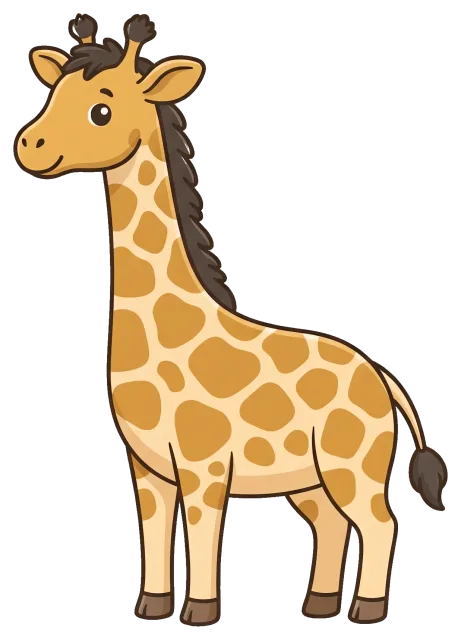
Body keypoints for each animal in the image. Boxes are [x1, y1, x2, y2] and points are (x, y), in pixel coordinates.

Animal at [14, 13, 448, 626]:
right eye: (53, 94)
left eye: (101, 110)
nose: (29, 146)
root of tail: (382, 375)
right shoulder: (147, 467)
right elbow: (154, 534)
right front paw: (151, 607)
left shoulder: (205, 466)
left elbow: (202, 535)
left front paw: (199, 612)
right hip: (309, 478)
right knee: (331, 524)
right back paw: (317, 605)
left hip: (352, 465)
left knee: (381, 523)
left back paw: (366, 609)